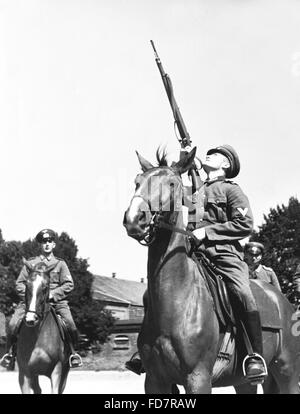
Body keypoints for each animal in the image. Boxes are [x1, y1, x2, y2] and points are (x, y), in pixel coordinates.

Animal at [16, 260, 70, 392]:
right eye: (27, 285)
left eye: (45, 287)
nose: (31, 319)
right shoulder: (24, 373)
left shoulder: (57, 370)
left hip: (65, 371)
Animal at [123, 149, 300, 394]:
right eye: (137, 182)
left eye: (171, 184)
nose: (133, 219)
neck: (179, 299)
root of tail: (281, 299)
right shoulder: (155, 381)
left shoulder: (198, 378)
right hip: (244, 382)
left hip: (287, 372)